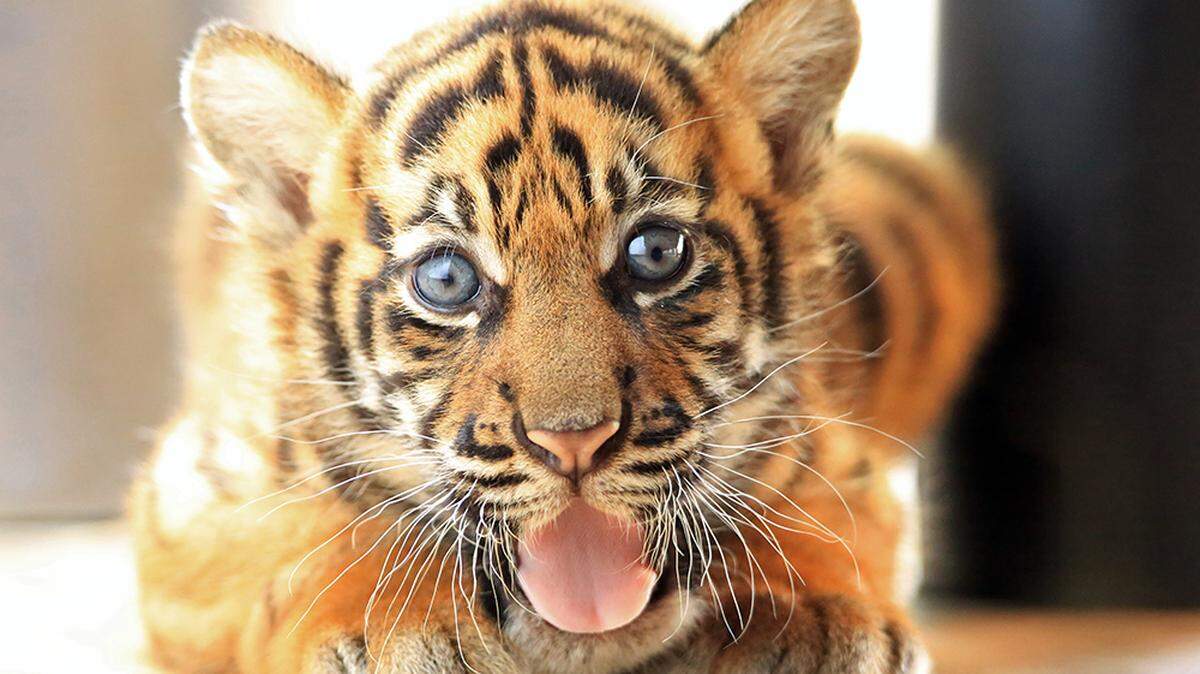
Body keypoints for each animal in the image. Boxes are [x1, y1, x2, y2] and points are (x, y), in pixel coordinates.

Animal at [130, 0, 998, 671]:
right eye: (447, 280)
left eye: (656, 253)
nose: (573, 441)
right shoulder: (199, 493)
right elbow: (324, 536)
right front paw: (394, 631)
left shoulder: (839, 458)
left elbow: (815, 519)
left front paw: (807, 619)